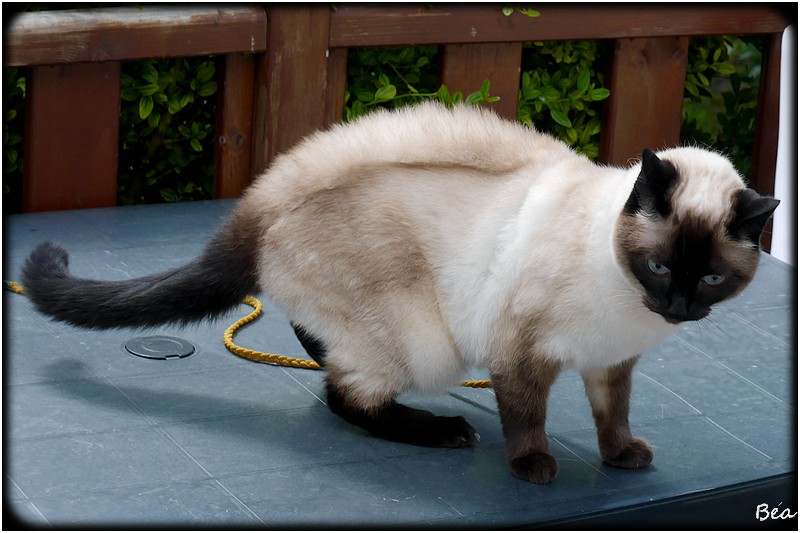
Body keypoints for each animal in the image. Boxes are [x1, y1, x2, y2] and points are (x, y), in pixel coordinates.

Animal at [21, 103, 780, 482]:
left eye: (712, 278)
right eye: (660, 267)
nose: (678, 307)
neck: (626, 305)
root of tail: (261, 205)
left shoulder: (610, 363)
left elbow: (612, 418)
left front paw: (622, 459)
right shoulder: (520, 354)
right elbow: (526, 419)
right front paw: (533, 468)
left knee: (319, 347)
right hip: (426, 342)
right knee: (345, 395)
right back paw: (444, 429)